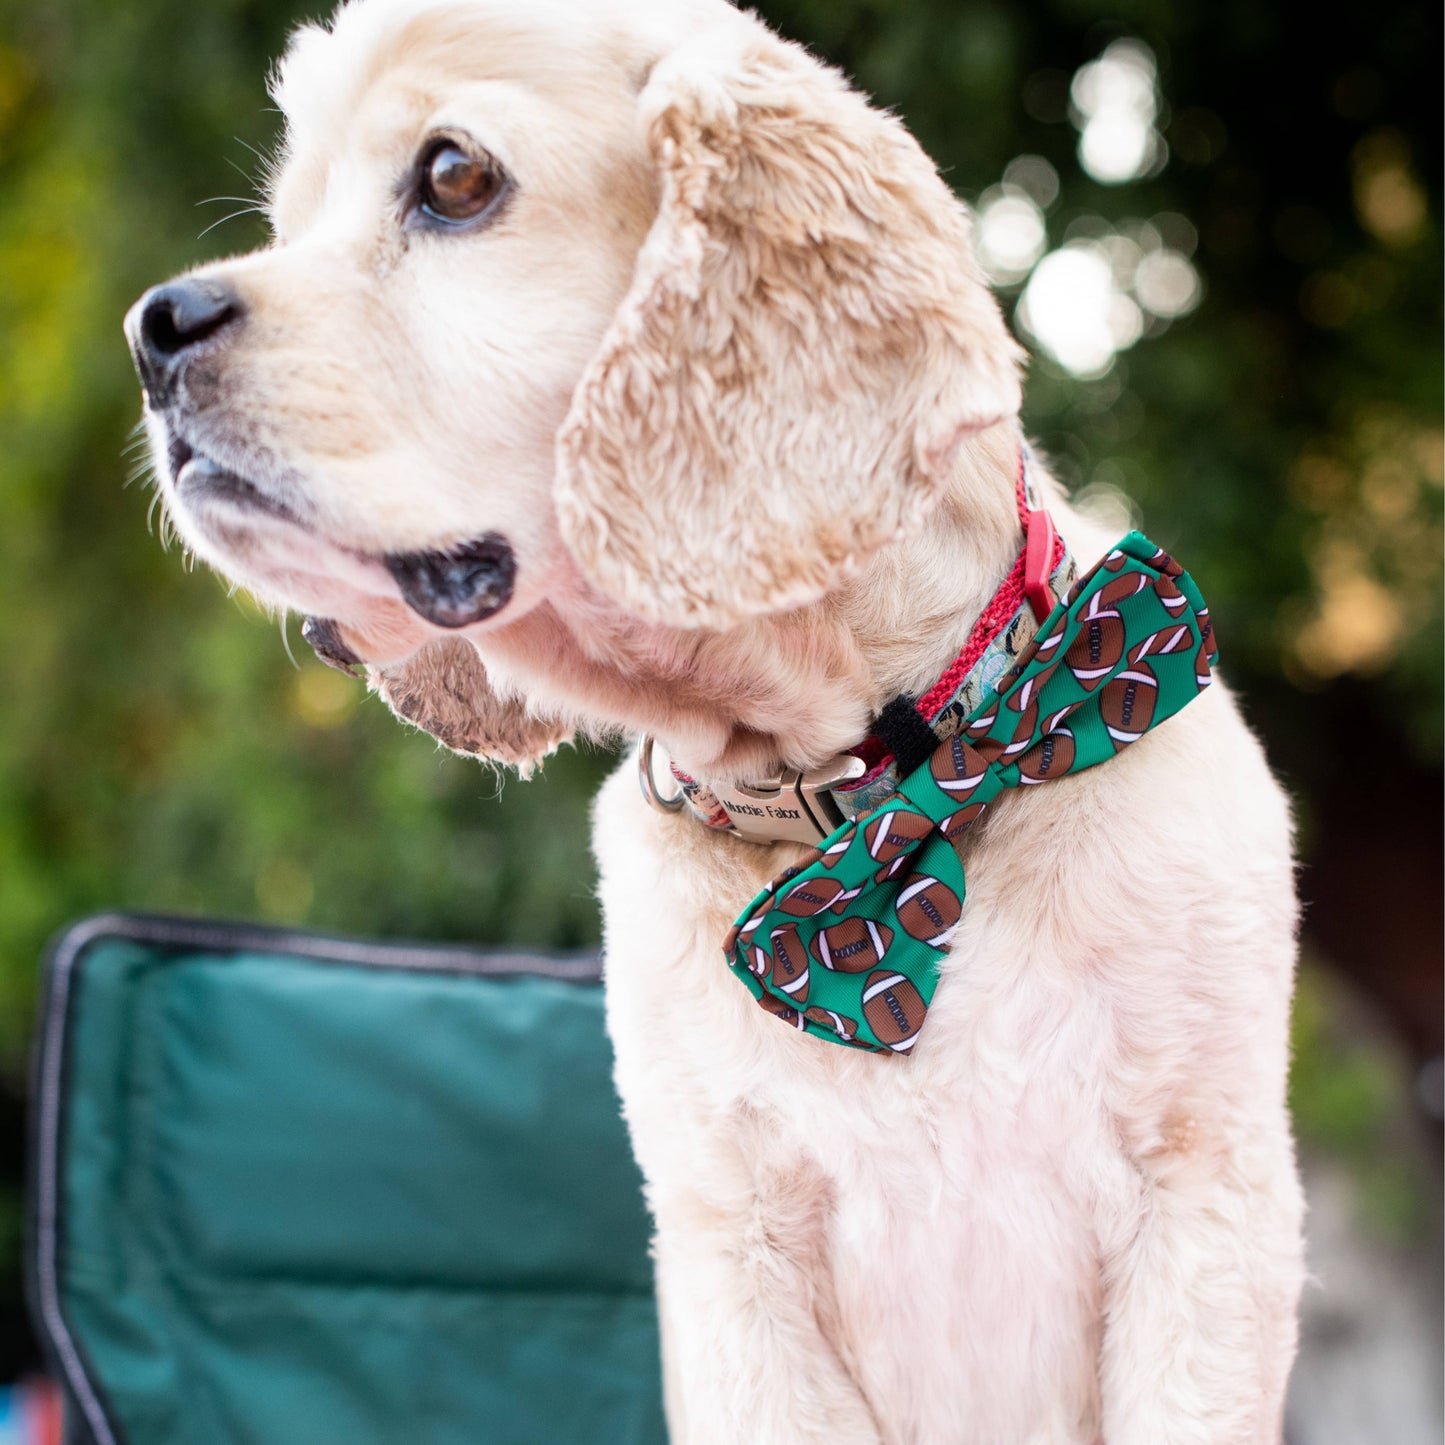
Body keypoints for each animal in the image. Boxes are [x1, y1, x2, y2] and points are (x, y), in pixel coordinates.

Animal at [124, 2, 1306, 1445]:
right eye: (287, 218)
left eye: (453, 176)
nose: (152, 329)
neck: (881, 798)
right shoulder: (730, 1246)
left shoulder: (1206, 1196)